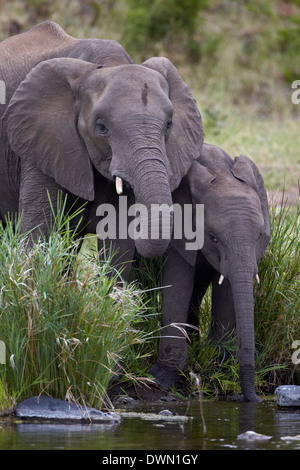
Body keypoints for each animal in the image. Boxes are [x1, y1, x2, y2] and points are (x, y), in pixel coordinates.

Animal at [149, 141, 270, 402]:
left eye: (260, 236)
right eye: (213, 237)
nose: (256, 399)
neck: (220, 171)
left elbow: (226, 290)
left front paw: (219, 370)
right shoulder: (178, 230)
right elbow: (178, 284)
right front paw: (161, 379)